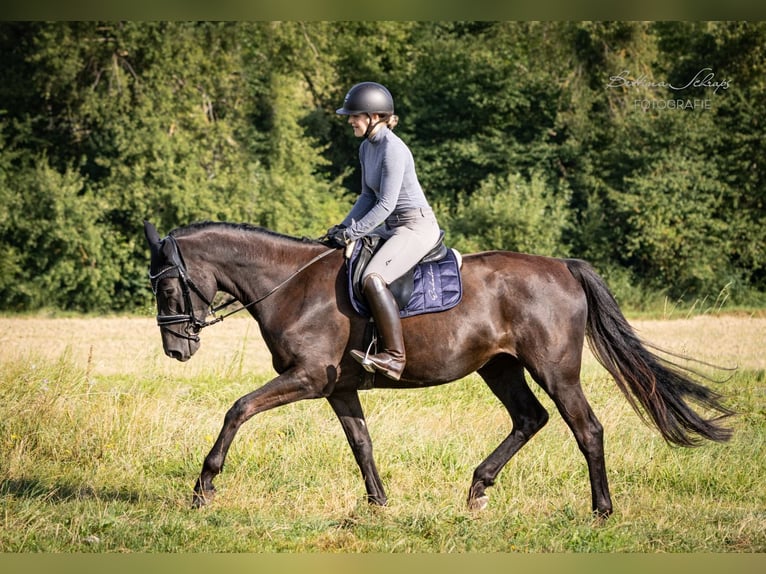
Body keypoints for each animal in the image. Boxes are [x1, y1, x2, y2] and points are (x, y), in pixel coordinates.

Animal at [144, 219, 736, 516]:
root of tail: (563, 267)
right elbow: (361, 442)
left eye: (168, 286)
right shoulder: (337, 388)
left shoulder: (307, 378)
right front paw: (378, 504)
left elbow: (238, 409)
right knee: (529, 419)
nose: (177, 349)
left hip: (554, 368)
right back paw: (477, 489)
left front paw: (204, 487)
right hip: (500, 367)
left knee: (585, 428)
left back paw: (602, 510)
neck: (291, 286)